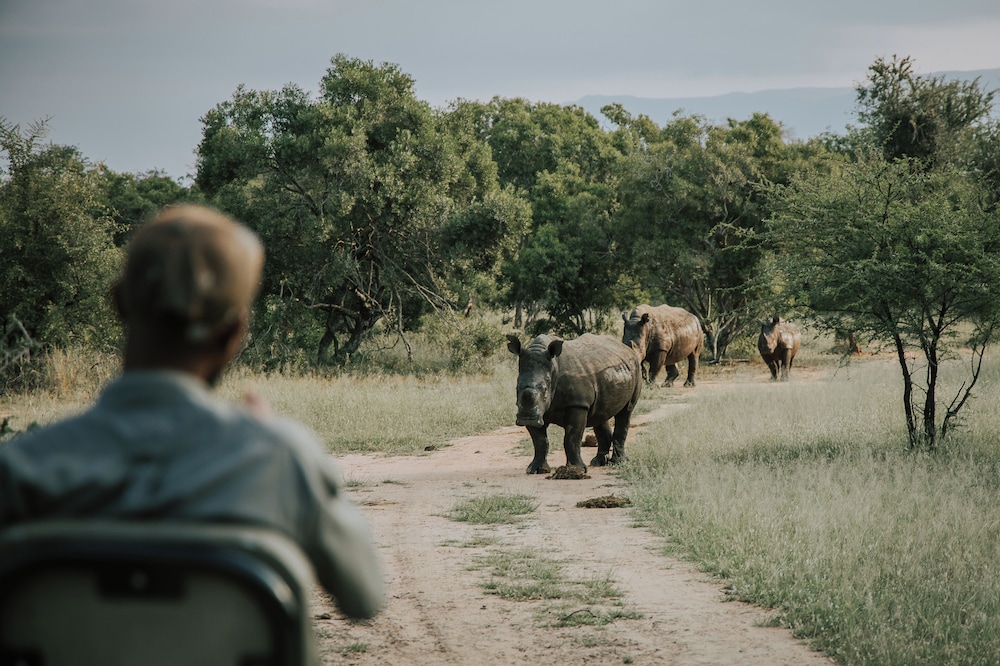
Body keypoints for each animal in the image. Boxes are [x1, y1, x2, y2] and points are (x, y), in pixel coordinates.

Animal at [506, 333, 642, 474]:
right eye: (517, 387)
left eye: (544, 389)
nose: (526, 419)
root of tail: (627, 348)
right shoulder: (536, 411)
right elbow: (540, 441)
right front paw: (537, 470)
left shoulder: (577, 404)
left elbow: (572, 438)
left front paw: (576, 469)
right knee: (601, 414)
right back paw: (598, 462)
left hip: (636, 369)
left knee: (626, 411)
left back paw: (618, 462)